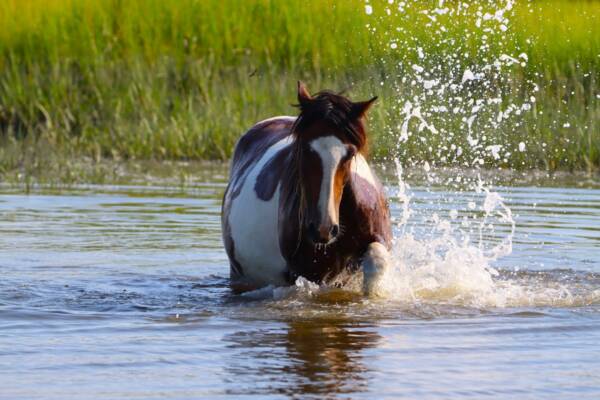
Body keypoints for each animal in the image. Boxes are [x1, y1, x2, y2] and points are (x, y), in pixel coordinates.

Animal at [223, 82, 392, 294]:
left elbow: (377, 263)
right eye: (303, 148)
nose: (323, 228)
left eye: (350, 153)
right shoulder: (308, 271)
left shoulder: (378, 239)